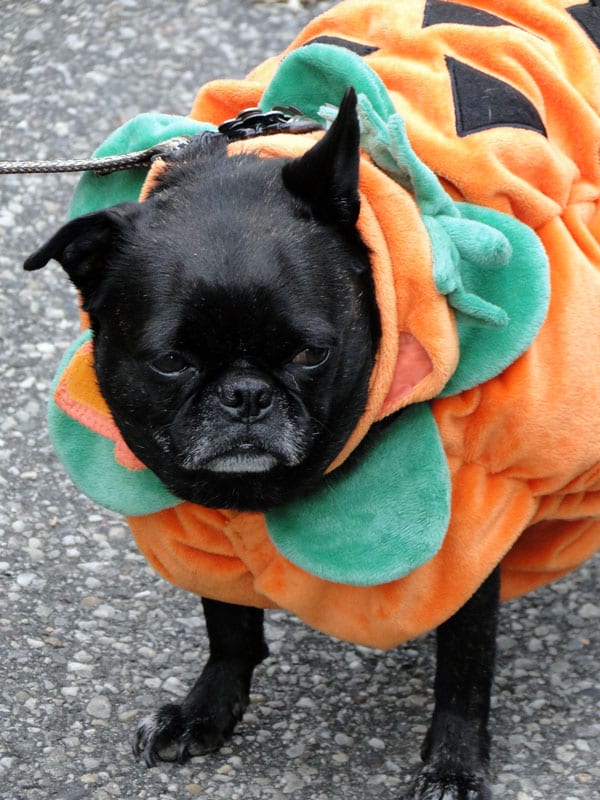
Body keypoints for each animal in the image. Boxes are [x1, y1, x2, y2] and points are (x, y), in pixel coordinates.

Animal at [25, 90, 500, 796]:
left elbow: (465, 667)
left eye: (311, 354)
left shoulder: (472, 543)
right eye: (171, 362)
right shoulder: (212, 532)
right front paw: (205, 711)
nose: (245, 394)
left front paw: (454, 765)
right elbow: (228, 624)